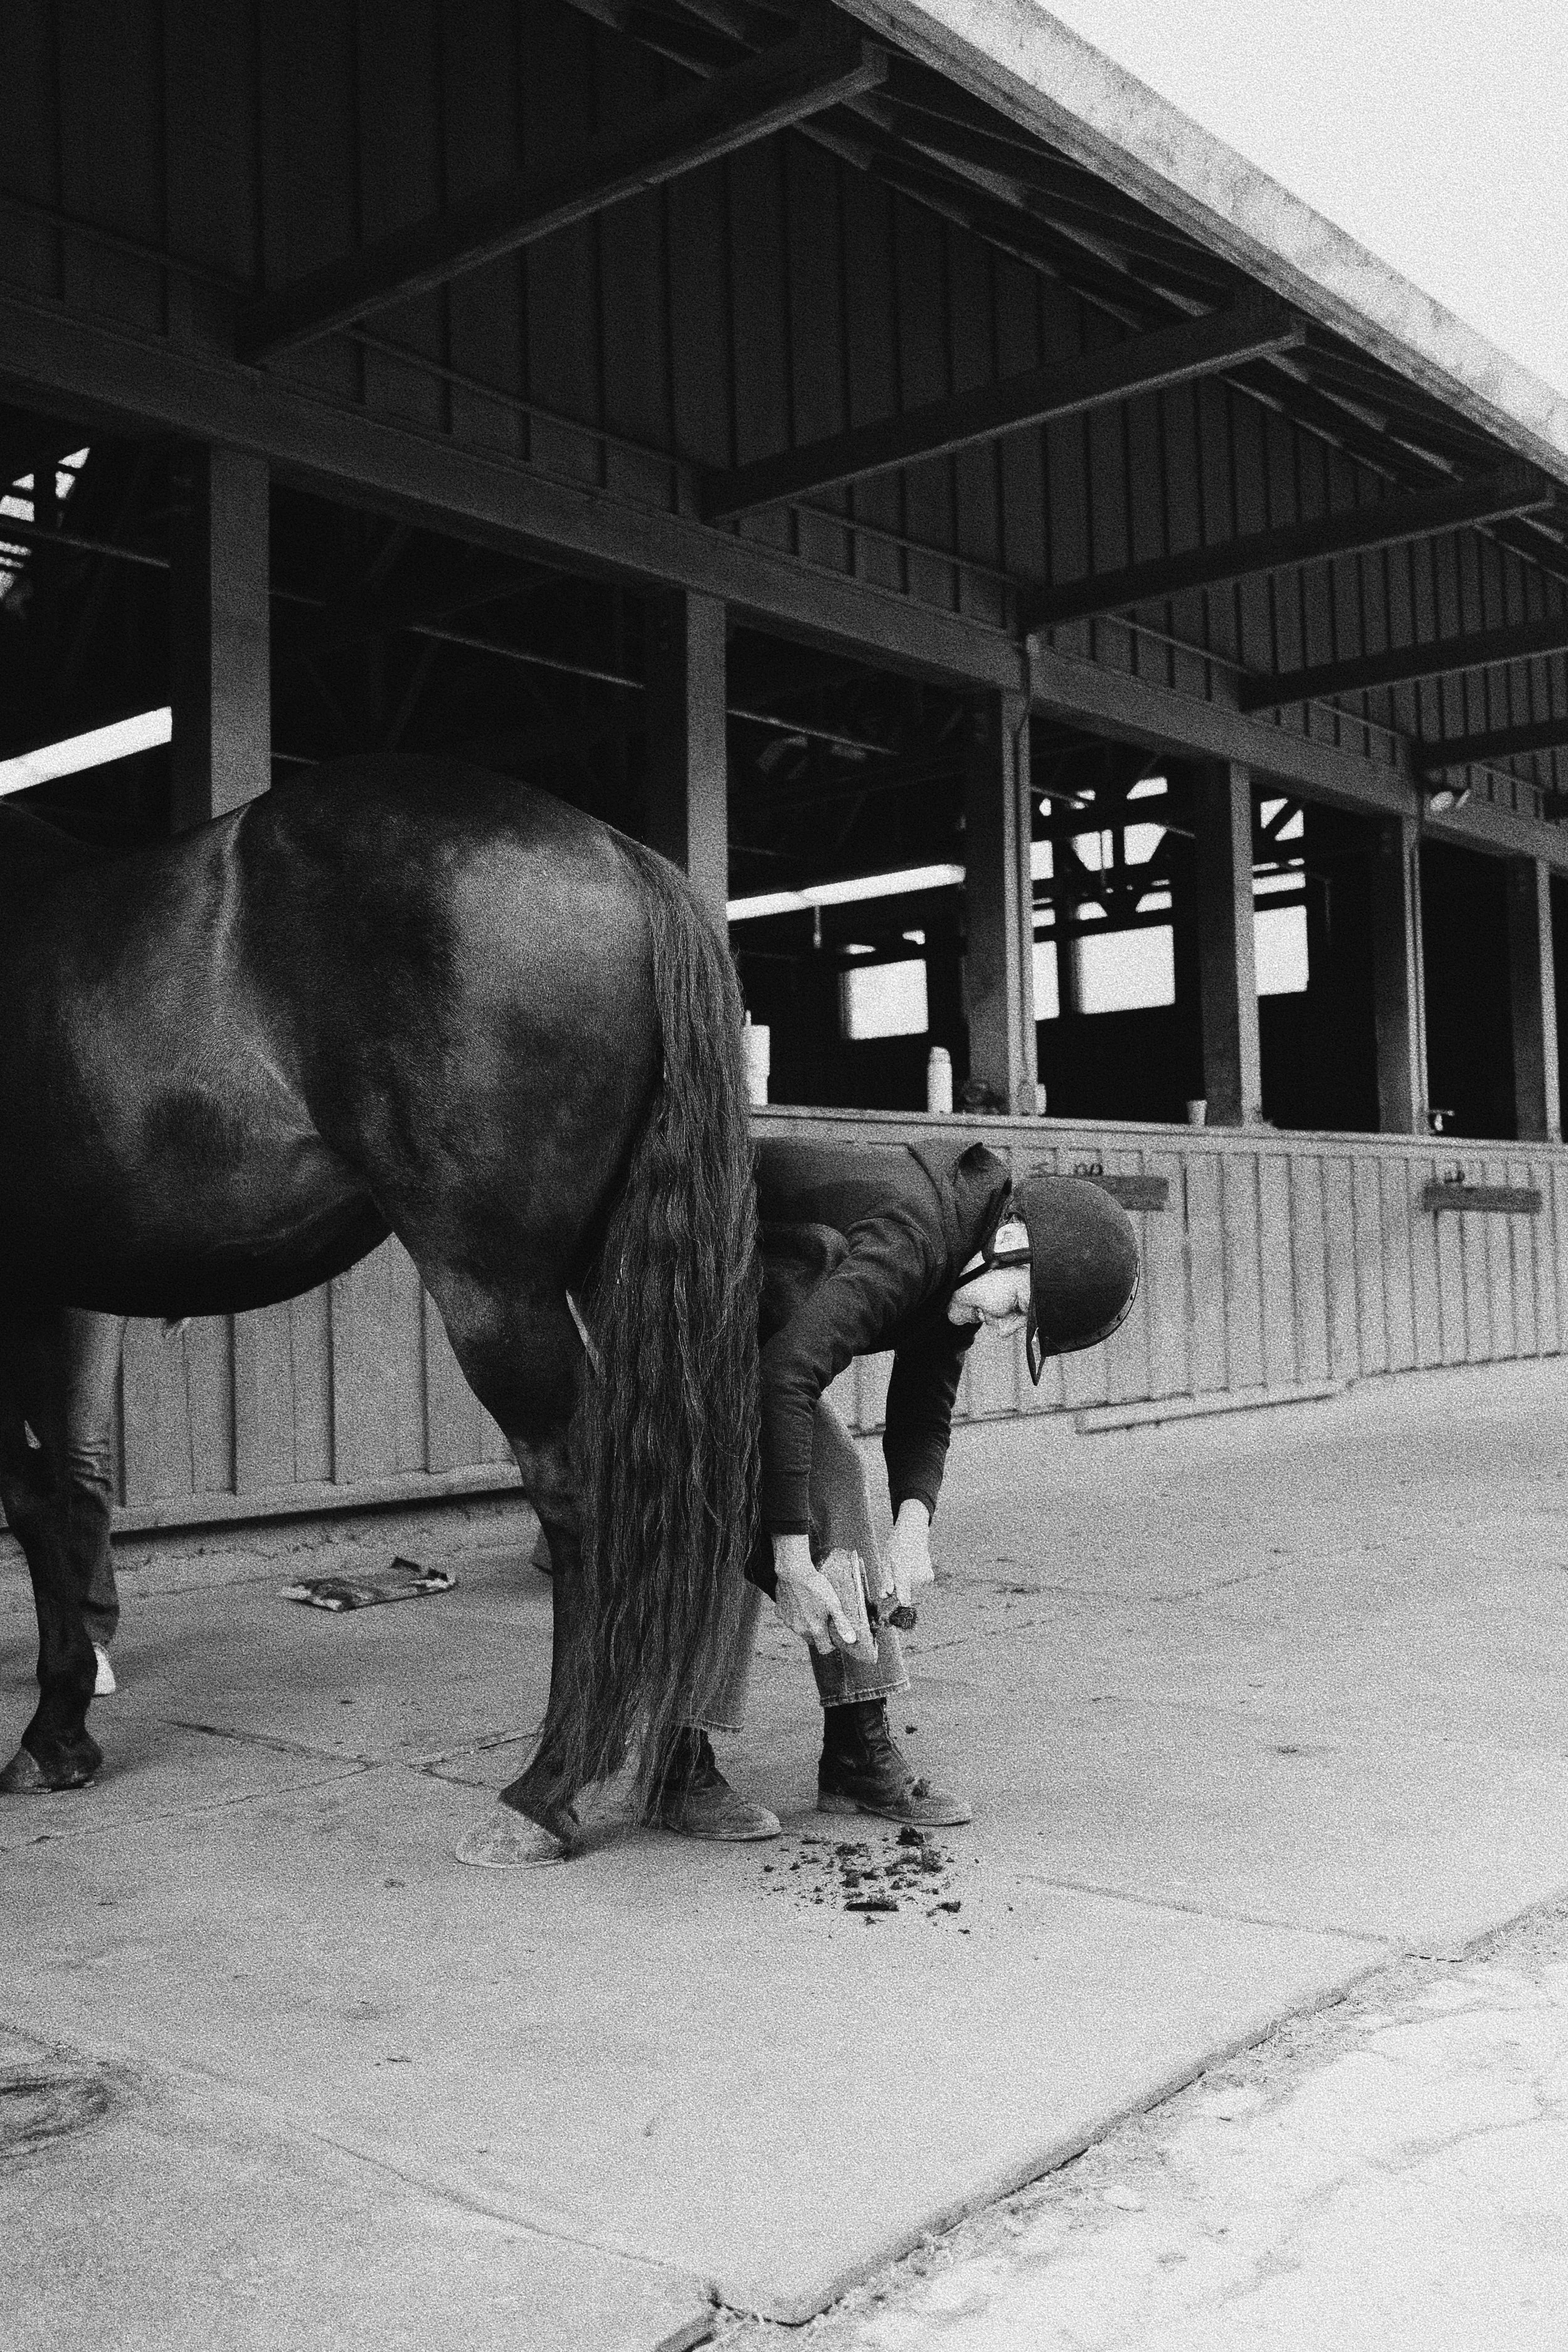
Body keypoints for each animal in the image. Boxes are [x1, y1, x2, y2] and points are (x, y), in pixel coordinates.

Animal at [0, 754, 759, 1839]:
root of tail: (621, 855)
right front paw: (63, 1730)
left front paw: (49, 1732)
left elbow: (28, 1498)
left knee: (589, 1494)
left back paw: (548, 1787)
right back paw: (683, 1771)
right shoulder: (49, 1295)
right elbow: (58, 1493)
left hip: (496, 1289)